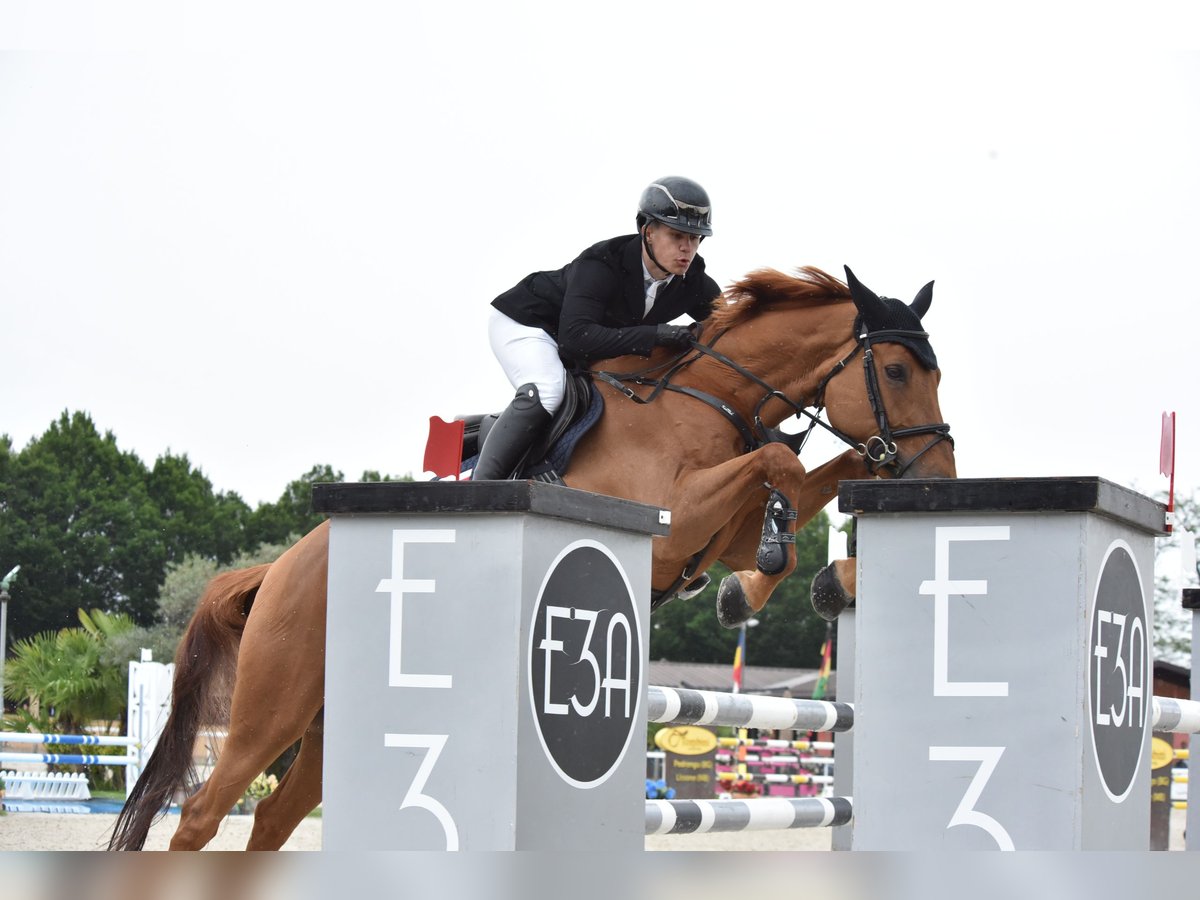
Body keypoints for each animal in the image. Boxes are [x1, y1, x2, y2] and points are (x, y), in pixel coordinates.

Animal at [110, 262, 955, 854]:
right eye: (897, 371)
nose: (940, 476)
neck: (707, 400)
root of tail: (277, 568)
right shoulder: (674, 525)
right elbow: (779, 467)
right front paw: (767, 578)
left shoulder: (722, 533)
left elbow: (810, 486)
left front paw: (801, 584)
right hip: (274, 706)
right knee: (201, 815)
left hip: (326, 728)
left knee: (272, 821)